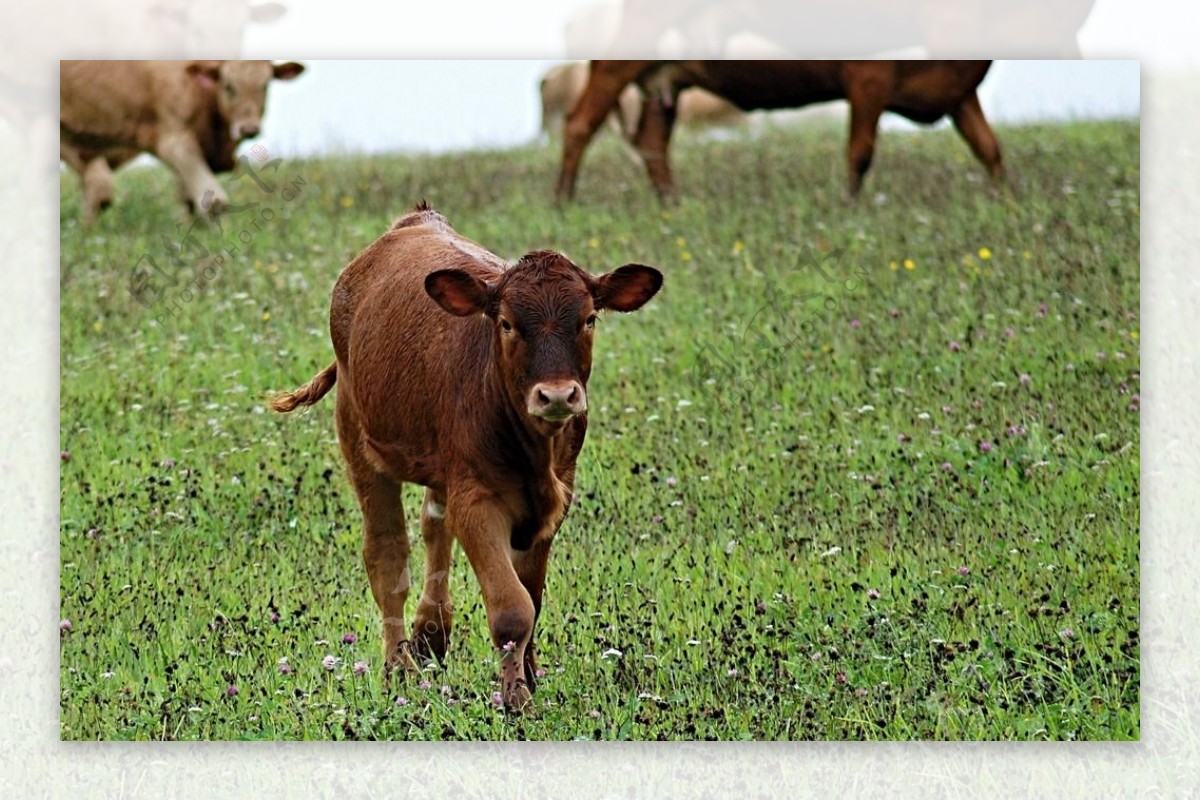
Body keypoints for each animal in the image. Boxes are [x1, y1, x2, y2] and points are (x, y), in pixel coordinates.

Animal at [60, 59, 304, 221]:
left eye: (265, 85)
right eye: (228, 85)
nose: (249, 128)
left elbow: (189, 201)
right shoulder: (174, 141)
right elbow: (215, 203)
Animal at [270, 203, 667, 709]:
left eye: (589, 319)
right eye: (507, 323)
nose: (557, 395)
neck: (533, 451)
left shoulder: (555, 498)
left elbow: (532, 595)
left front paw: (529, 675)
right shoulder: (478, 500)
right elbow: (513, 608)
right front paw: (517, 700)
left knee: (434, 525)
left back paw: (431, 633)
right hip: (359, 438)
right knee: (387, 555)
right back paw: (399, 666)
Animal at [556, 59, 1008, 201]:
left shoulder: (960, 91)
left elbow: (989, 148)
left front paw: (1006, 201)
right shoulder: (868, 76)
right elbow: (860, 153)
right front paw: (851, 208)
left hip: (663, 82)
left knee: (652, 144)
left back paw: (672, 204)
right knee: (579, 125)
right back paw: (563, 201)